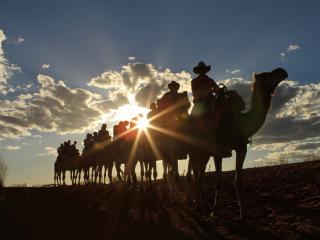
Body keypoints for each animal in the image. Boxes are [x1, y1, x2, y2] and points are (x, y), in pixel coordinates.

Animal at [186, 67, 288, 218]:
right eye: (266, 75)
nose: (282, 71)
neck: (239, 123)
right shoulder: (218, 151)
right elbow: (218, 181)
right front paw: (214, 210)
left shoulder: (241, 148)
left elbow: (238, 181)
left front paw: (243, 213)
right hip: (194, 151)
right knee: (196, 176)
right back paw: (199, 206)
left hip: (204, 154)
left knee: (199, 176)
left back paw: (201, 204)